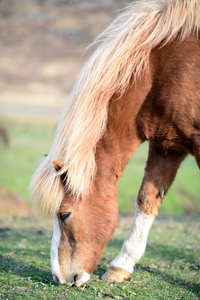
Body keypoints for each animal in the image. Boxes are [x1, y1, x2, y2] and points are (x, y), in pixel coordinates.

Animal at [29, 0, 200, 288]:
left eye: (64, 215)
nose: (60, 278)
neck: (165, 67)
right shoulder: (167, 147)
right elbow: (146, 200)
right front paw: (121, 266)